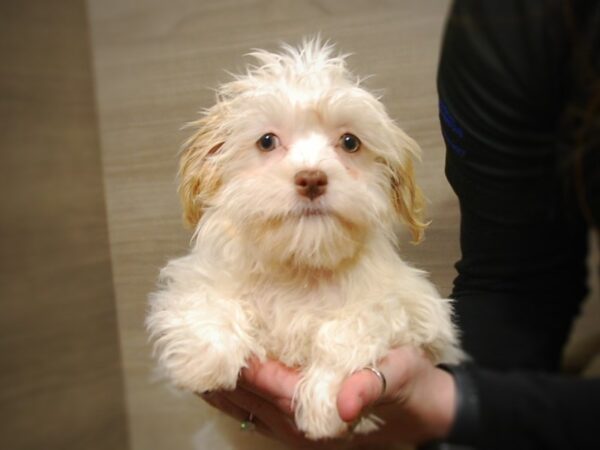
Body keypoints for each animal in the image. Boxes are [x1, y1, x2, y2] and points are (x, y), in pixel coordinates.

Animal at [148, 37, 462, 440]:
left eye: (350, 142)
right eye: (267, 141)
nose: (312, 178)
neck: (302, 266)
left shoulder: (417, 312)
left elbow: (357, 321)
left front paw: (325, 404)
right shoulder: (200, 276)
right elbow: (204, 297)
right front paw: (203, 362)